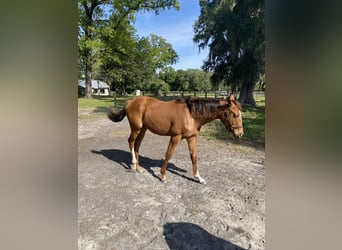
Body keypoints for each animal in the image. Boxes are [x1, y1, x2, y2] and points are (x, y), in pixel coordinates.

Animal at [107, 94, 243, 184]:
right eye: (235, 114)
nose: (240, 134)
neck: (191, 115)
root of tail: (130, 102)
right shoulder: (175, 137)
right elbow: (169, 154)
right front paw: (163, 176)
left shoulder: (191, 137)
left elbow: (194, 156)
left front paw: (198, 178)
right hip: (136, 128)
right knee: (131, 142)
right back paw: (133, 164)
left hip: (143, 129)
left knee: (137, 145)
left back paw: (138, 168)